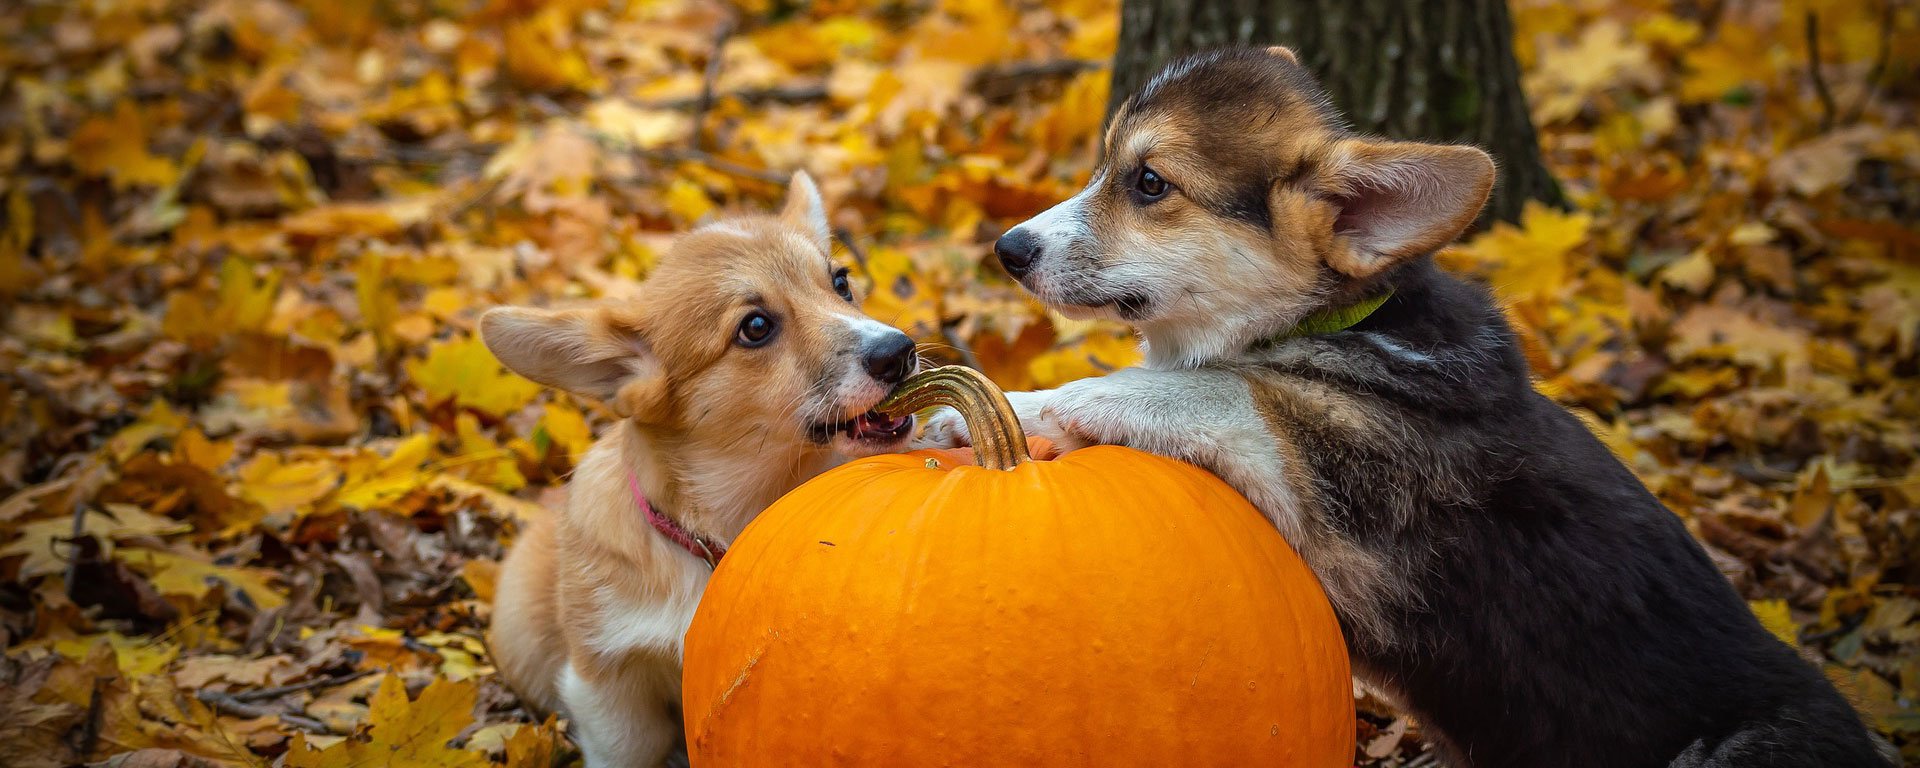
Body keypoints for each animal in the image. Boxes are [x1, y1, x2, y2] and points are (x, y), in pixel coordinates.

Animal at [487, 173, 921, 768]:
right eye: (755, 327)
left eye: (841, 282)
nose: (901, 352)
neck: (733, 517)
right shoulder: (608, 680)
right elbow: (631, 746)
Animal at [925, 46, 1889, 768]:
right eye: (1104, 167)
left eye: (1151, 184)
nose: (1008, 249)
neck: (1335, 320)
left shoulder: (1332, 486)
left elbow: (1211, 385)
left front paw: (1005, 405)